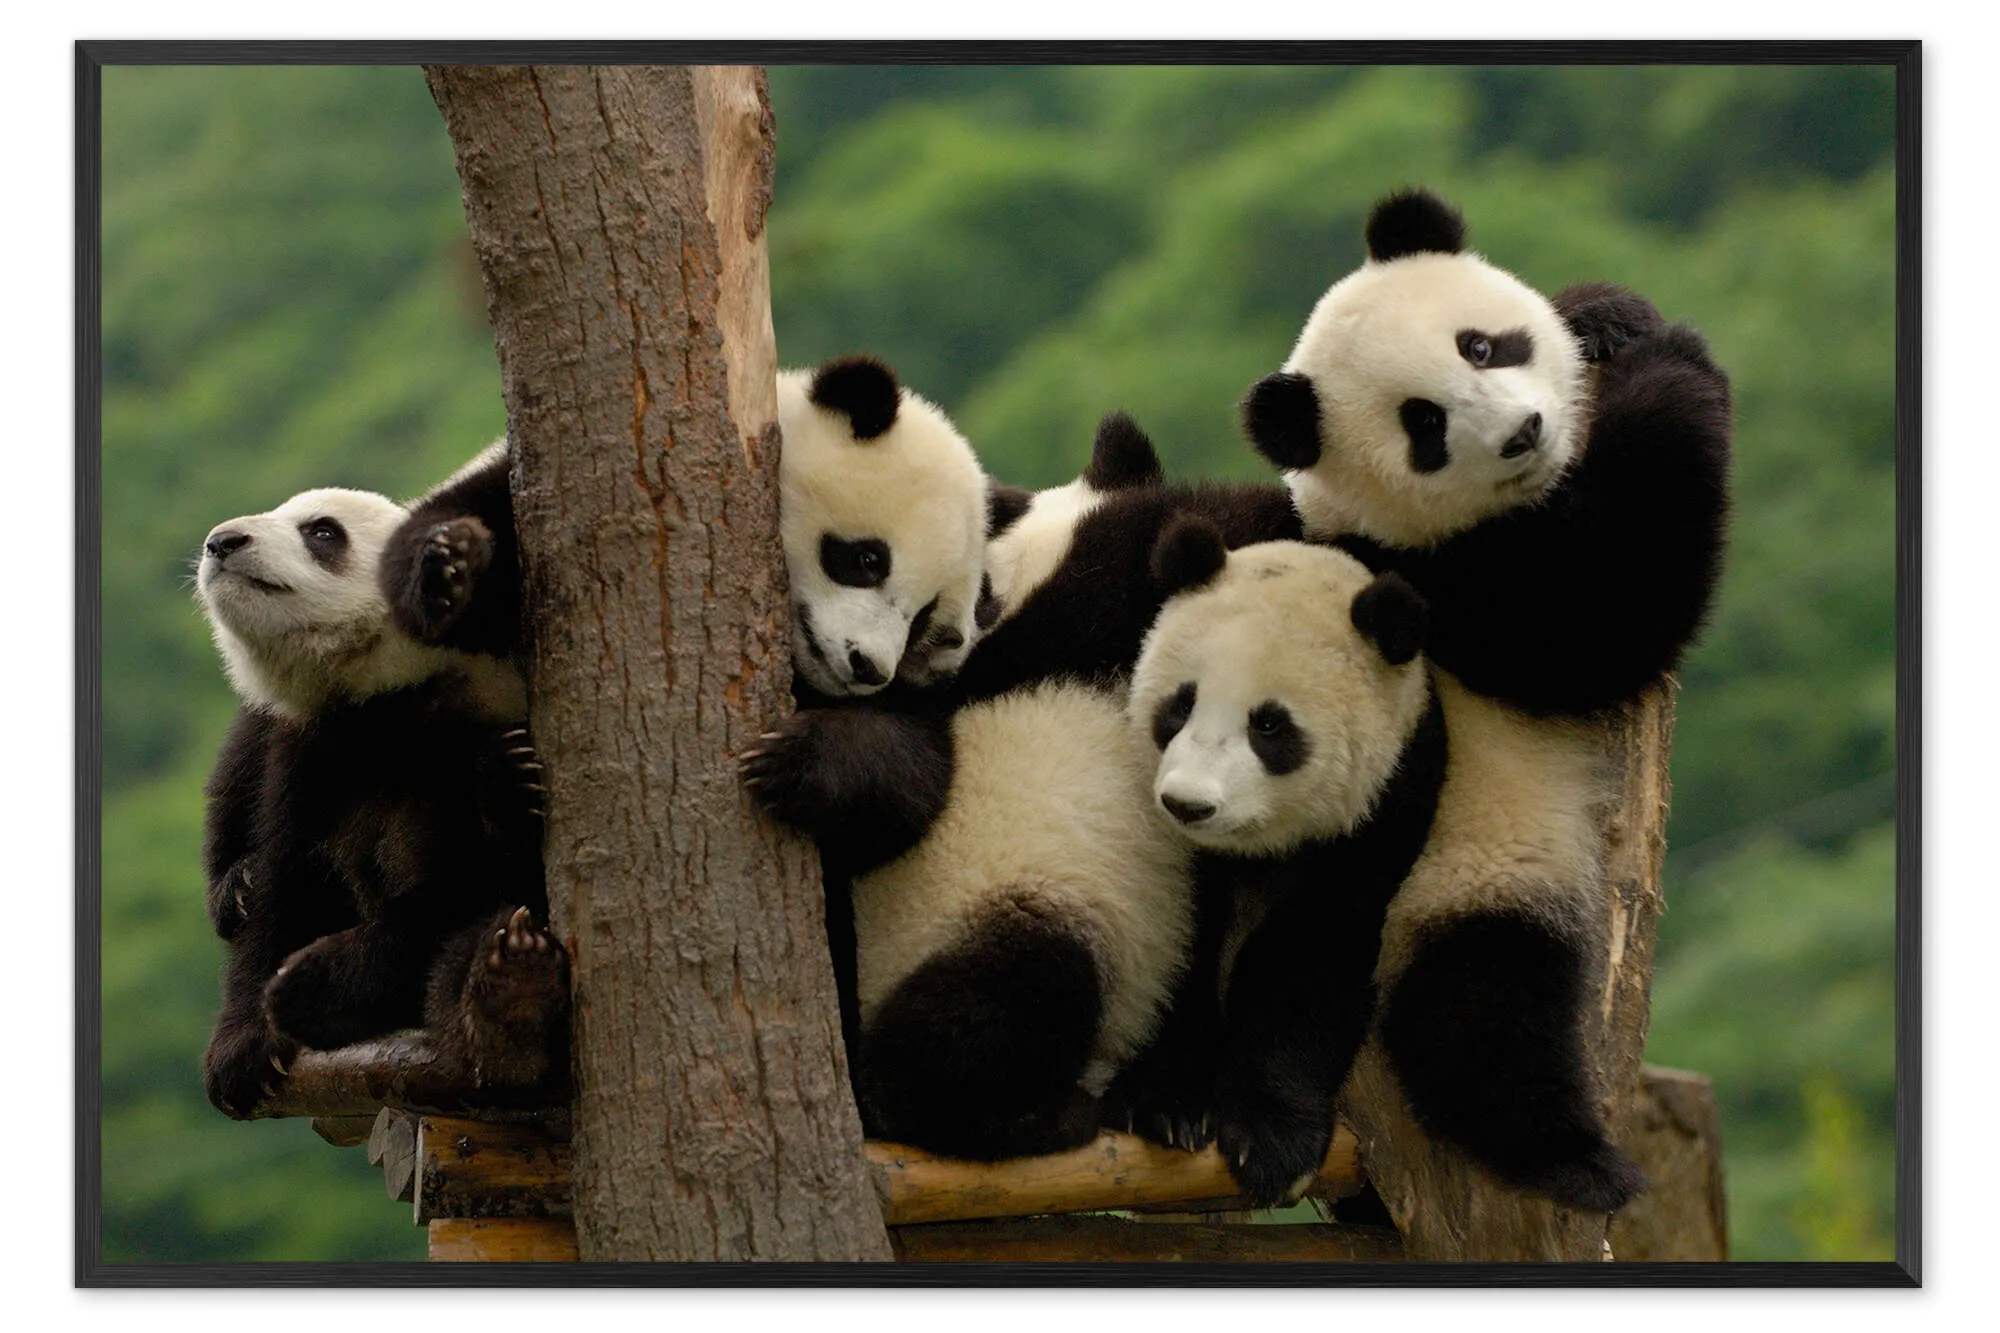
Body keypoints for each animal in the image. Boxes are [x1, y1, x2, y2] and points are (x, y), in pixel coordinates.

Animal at [196, 480, 566, 1118]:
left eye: (322, 532)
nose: (223, 541)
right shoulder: (311, 752)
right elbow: (287, 883)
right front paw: (242, 1050)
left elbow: (456, 894)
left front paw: (309, 990)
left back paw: (509, 1001)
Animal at [1106, 519, 1447, 1207]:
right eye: (1179, 705)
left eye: (1269, 726)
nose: (1188, 803)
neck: (1251, 848)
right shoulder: (1179, 853)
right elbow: (1178, 939)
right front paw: (1165, 1102)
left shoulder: (1386, 808)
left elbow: (1311, 961)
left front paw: (1271, 1142)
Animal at [1237, 188, 1731, 1212]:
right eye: (1422, 424)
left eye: (1480, 345)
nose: (1522, 433)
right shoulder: (1440, 584)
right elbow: (1600, 615)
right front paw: (1675, 361)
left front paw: (1609, 315)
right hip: (1457, 874)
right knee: (1482, 1010)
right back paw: (1573, 1158)